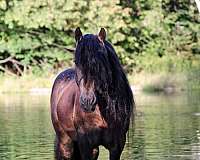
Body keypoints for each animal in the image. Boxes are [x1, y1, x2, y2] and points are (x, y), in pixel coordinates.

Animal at [50, 27, 134, 160]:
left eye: (101, 61)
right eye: (76, 61)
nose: (87, 101)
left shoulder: (117, 147)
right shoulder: (85, 144)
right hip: (65, 142)